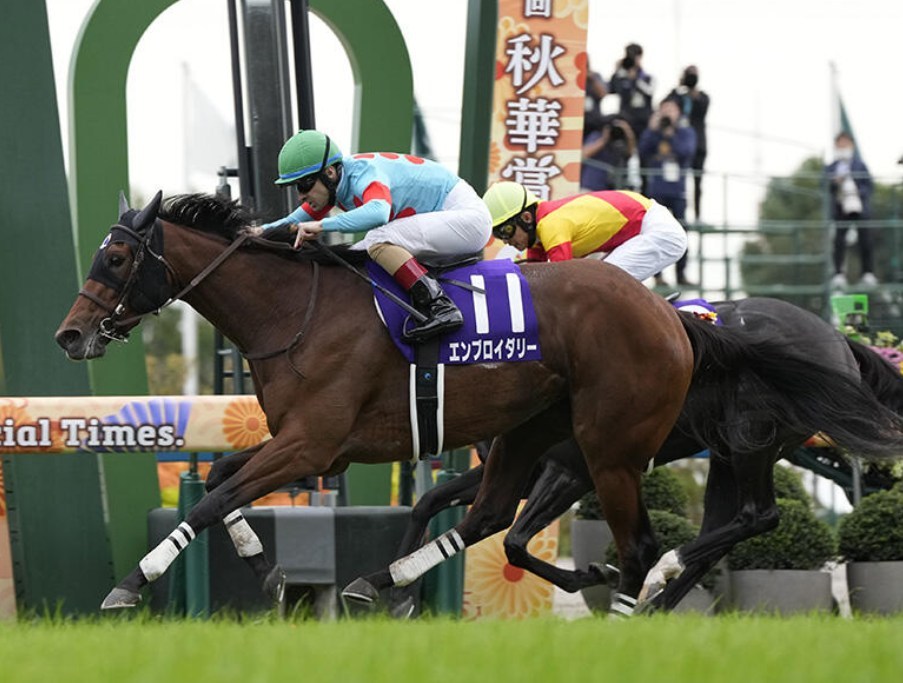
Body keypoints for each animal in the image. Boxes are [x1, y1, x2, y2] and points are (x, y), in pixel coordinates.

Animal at [358, 298, 903, 616]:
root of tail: (841, 342)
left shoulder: (570, 470)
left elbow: (513, 540)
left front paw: (595, 574)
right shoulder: (521, 466)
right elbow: (430, 505)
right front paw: (397, 595)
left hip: (752, 437)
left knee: (758, 515)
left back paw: (661, 572)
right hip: (729, 453)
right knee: (723, 529)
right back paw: (656, 604)